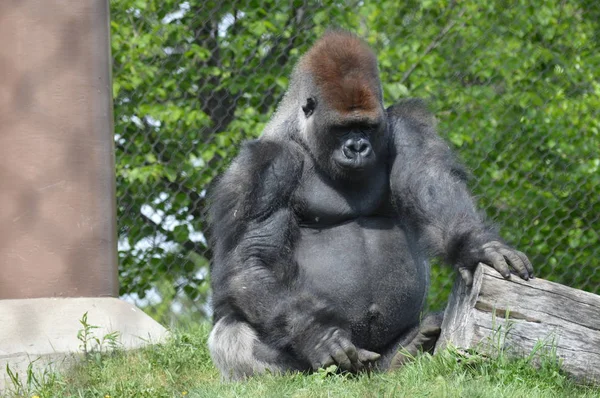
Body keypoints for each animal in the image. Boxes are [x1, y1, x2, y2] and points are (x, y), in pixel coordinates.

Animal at [205, 30, 528, 380]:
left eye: (367, 127)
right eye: (342, 128)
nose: (357, 147)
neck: (303, 135)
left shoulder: (404, 126)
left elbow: (430, 182)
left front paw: (478, 245)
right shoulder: (266, 167)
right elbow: (252, 259)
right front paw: (318, 336)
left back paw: (410, 348)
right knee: (232, 333)